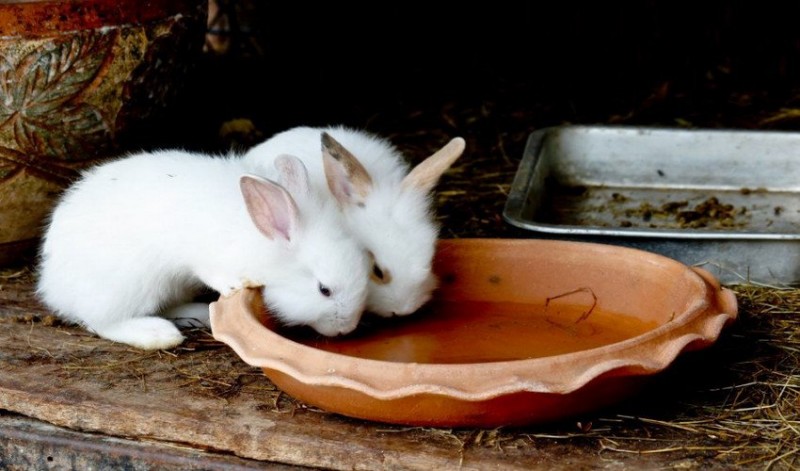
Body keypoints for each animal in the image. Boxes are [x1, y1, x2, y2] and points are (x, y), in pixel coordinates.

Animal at [38, 151, 372, 350]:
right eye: (324, 290)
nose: (346, 329)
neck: (263, 243)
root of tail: (51, 284)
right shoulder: (208, 258)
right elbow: (214, 273)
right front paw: (236, 285)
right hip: (129, 286)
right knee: (102, 321)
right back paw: (159, 335)